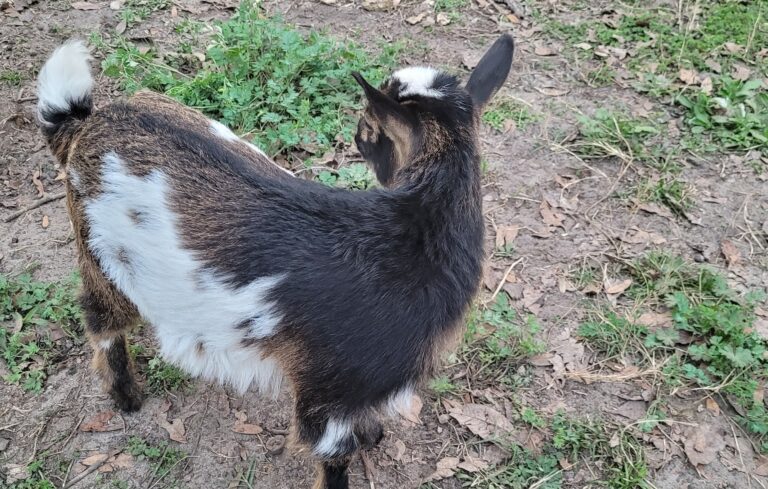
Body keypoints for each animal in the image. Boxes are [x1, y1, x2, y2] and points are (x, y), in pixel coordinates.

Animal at [36, 34, 514, 489]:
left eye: (367, 129)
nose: (355, 137)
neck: (416, 232)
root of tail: (87, 122)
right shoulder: (329, 394)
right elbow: (333, 461)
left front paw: (373, 435)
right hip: (102, 256)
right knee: (100, 319)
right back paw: (126, 398)